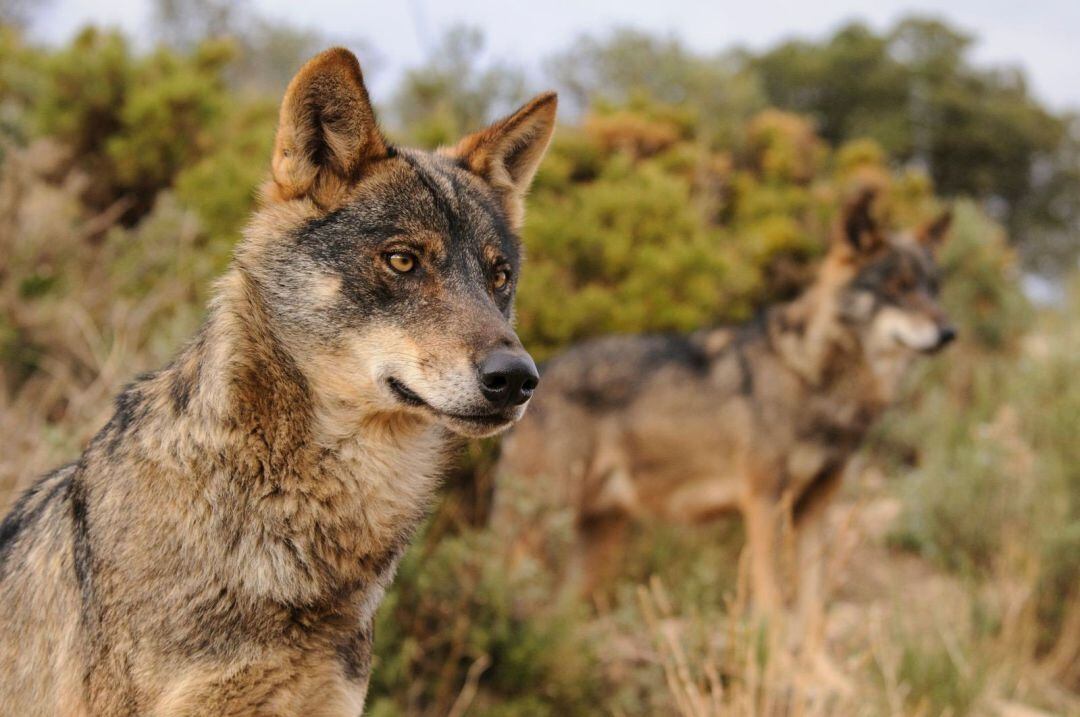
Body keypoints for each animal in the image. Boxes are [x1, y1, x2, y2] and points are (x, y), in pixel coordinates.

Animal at [492, 188, 954, 621]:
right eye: (897, 288)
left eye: (933, 289)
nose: (950, 332)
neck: (813, 376)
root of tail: (538, 374)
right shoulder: (764, 503)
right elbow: (774, 606)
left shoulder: (814, 510)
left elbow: (813, 611)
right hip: (537, 528)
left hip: (595, 542)